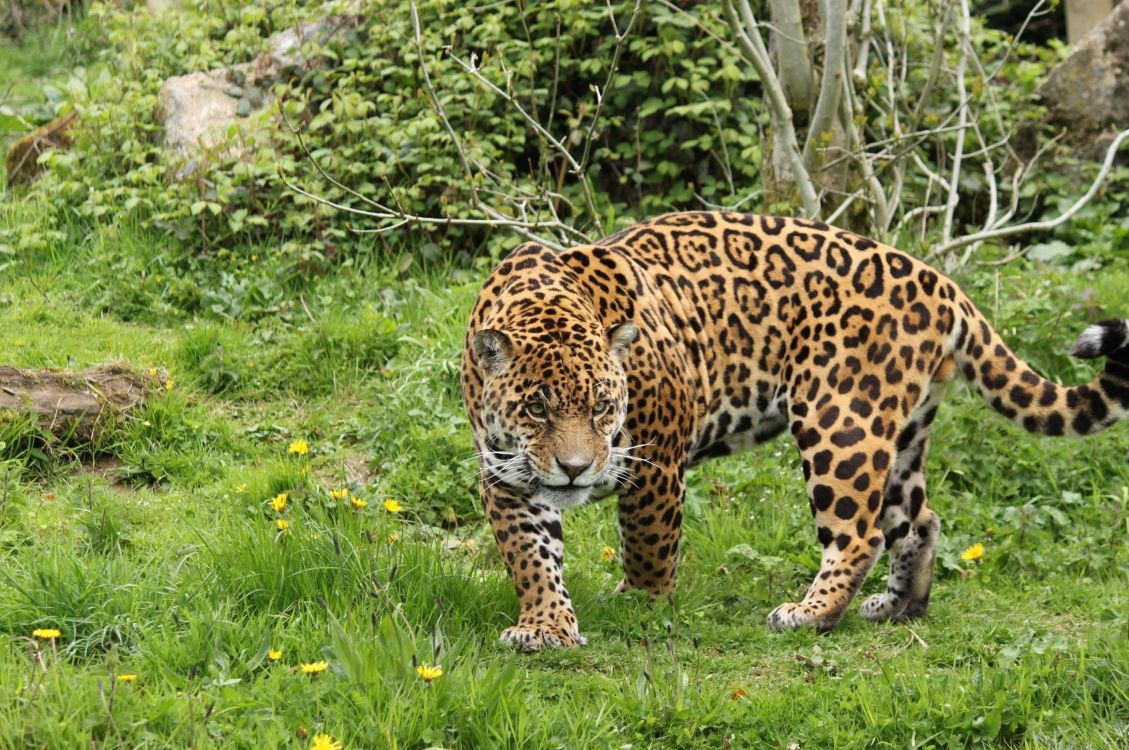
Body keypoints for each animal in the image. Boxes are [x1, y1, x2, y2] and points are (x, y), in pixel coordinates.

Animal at [460, 211, 1129, 651]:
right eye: (538, 409)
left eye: (603, 407)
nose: (575, 470)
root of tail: (937, 281)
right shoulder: (505, 475)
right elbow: (530, 558)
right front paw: (544, 626)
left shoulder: (657, 463)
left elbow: (648, 545)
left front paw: (643, 605)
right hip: (903, 434)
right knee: (918, 520)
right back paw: (899, 607)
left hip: (841, 421)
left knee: (858, 534)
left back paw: (810, 614)